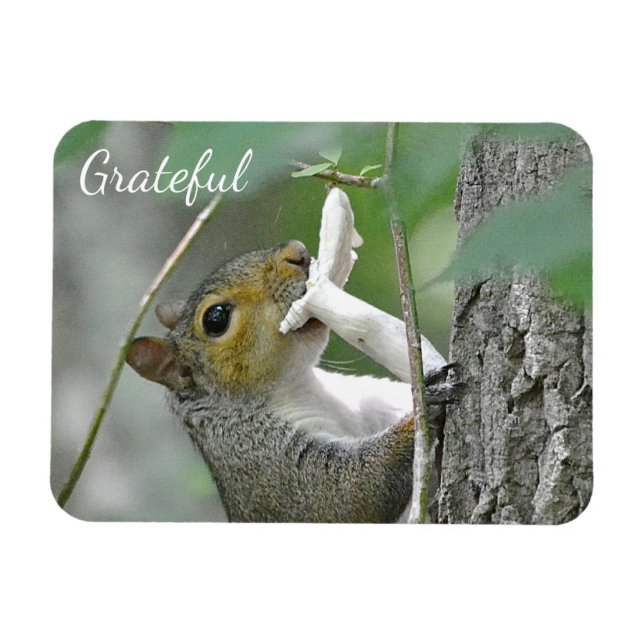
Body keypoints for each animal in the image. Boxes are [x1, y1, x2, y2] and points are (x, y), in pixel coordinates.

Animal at [126, 240, 457, 522]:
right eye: (215, 318)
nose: (296, 252)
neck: (299, 384)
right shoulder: (261, 459)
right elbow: (347, 495)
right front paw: (422, 408)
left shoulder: (364, 398)